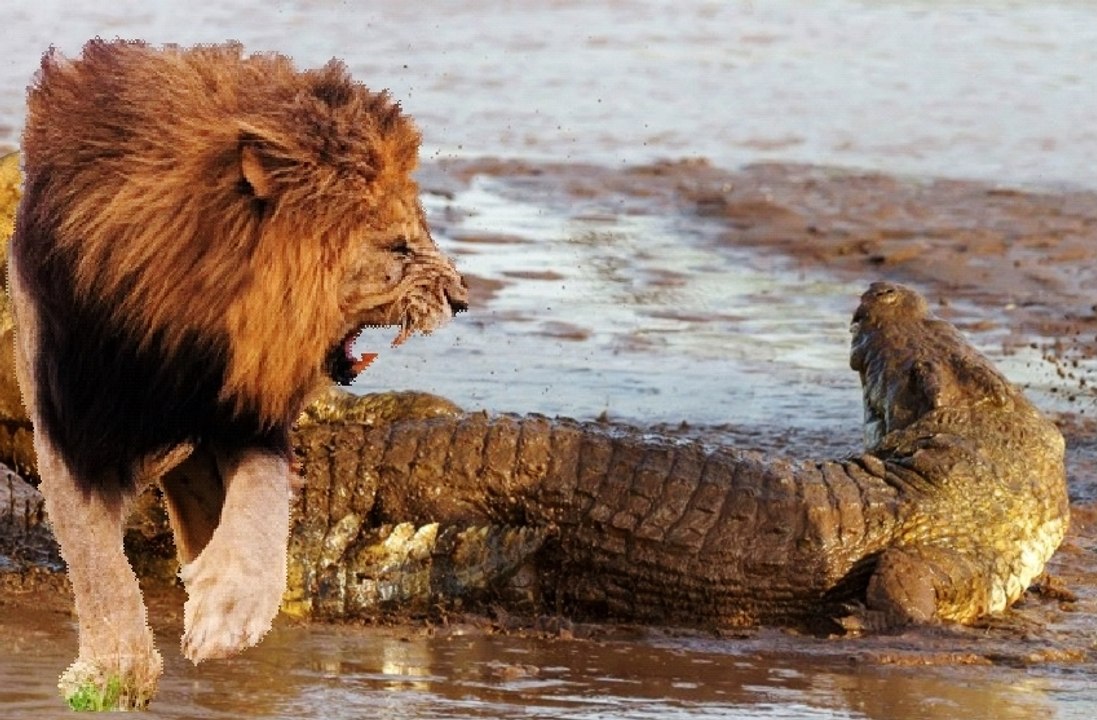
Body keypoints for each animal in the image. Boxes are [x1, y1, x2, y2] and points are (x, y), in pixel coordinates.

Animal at [9, 39, 467, 709]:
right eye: (400, 248)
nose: (463, 298)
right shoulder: (72, 418)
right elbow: (98, 562)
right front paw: (116, 674)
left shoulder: (245, 409)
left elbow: (259, 507)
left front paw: (226, 612)